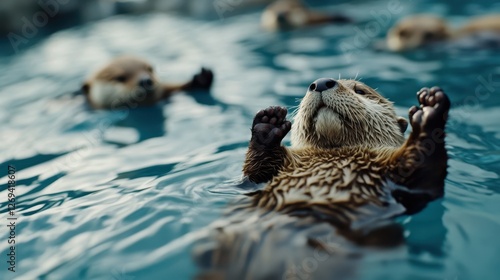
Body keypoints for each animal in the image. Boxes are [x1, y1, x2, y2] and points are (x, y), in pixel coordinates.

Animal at [194, 77, 450, 278]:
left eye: (360, 90)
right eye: (312, 85)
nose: (321, 82)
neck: (332, 157)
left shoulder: (400, 178)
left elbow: (423, 176)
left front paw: (429, 110)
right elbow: (254, 174)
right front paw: (268, 124)